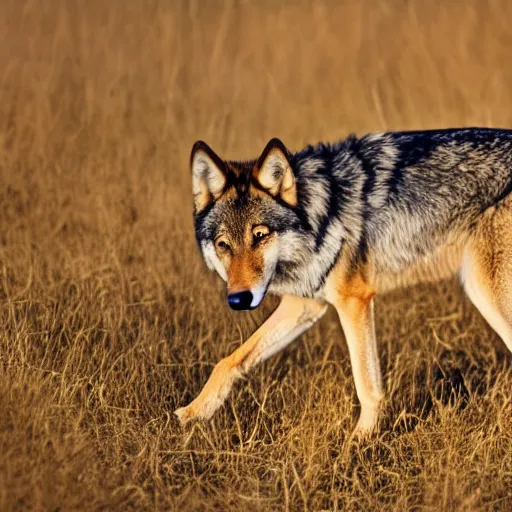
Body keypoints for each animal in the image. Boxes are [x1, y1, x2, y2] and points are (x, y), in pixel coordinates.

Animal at [175, 129, 512, 436]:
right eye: (223, 245)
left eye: (260, 235)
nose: (239, 299)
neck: (320, 216)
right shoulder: (305, 305)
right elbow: (229, 361)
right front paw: (192, 413)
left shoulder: (353, 300)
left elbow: (367, 385)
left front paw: (358, 442)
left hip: (485, 294)